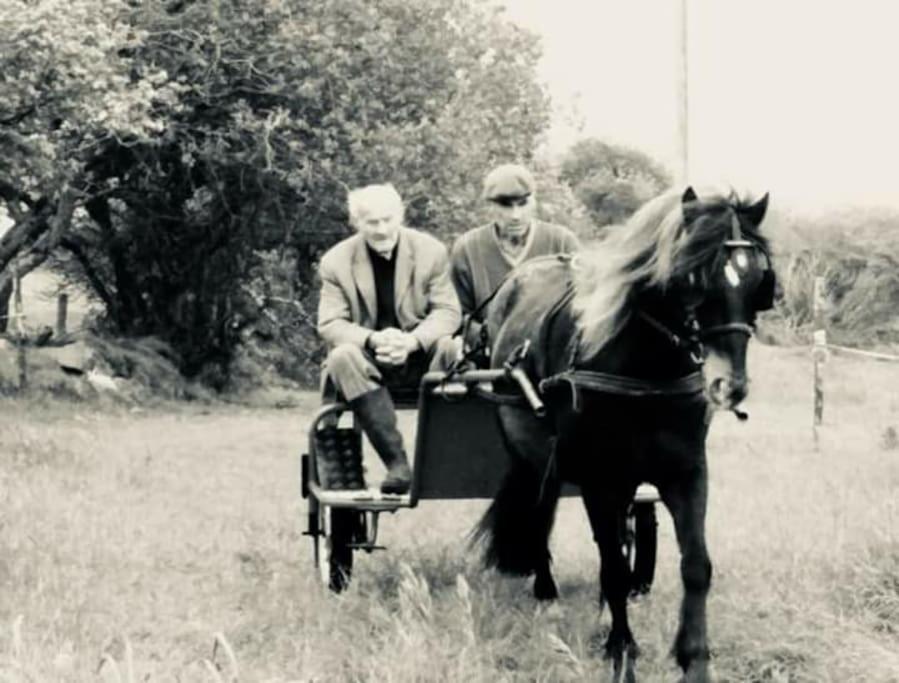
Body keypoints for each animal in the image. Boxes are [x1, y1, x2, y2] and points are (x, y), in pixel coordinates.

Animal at [478, 187, 772, 683]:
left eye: (758, 283)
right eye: (693, 277)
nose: (729, 385)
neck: (645, 372)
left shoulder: (687, 472)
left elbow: (695, 565)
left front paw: (694, 658)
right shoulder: (599, 479)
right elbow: (614, 566)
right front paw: (622, 651)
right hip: (534, 454)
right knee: (542, 513)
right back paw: (547, 591)